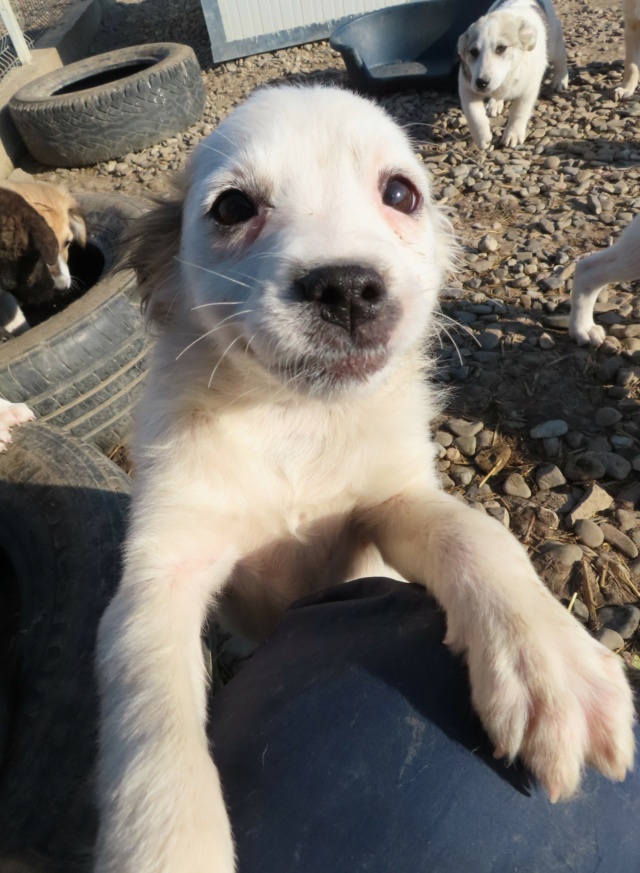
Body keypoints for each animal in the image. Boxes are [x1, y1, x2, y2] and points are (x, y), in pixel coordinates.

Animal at [458, 0, 568, 148]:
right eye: (473, 52)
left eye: (501, 48)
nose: (481, 83)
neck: (508, 74)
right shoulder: (466, 85)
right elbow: (473, 113)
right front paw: (482, 137)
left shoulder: (529, 88)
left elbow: (519, 111)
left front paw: (513, 134)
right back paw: (495, 103)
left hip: (554, 44)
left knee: (561, 56)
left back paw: (560, 79)